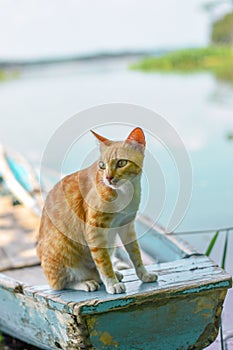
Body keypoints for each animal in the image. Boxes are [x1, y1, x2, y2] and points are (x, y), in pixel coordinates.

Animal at [37, 127, 157, 294]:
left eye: (121, 162)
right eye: (102, 165)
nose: (108, 178)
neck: (124, 193)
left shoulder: (126, 225)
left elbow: (135, 254)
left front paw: (144, 274)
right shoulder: (95, 230)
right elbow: (104, 262)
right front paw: (112, 284)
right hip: (62, 247)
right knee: (61, 284)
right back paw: (86, 283)